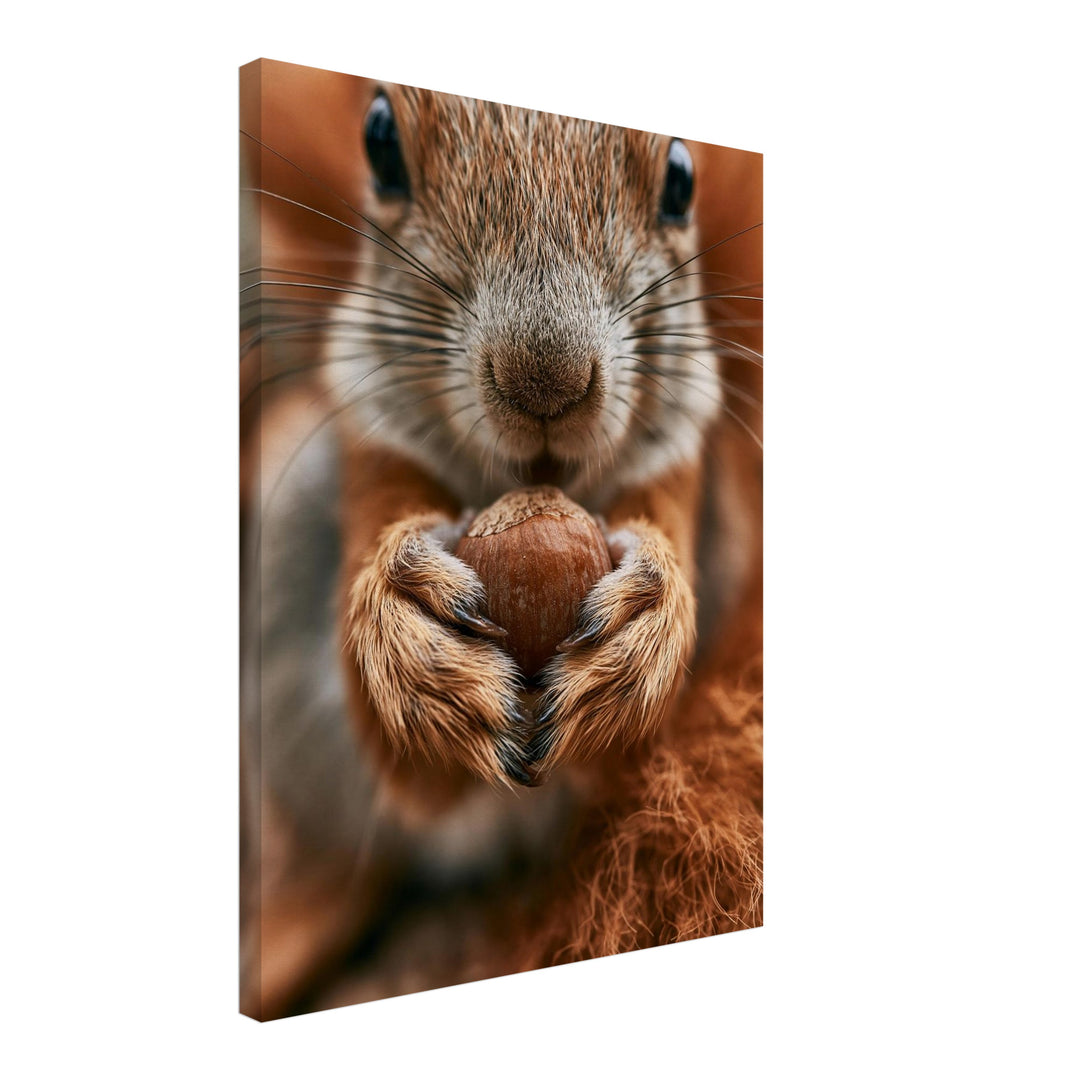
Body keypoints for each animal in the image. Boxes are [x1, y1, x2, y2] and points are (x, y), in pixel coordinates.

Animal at [240, 61, 762, 1020]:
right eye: (379, 141)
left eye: (681, 178)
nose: (544, 381)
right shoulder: (372, 456)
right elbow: (400, 749)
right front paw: (411, 642)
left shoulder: (690, 475)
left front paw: (646, 626)